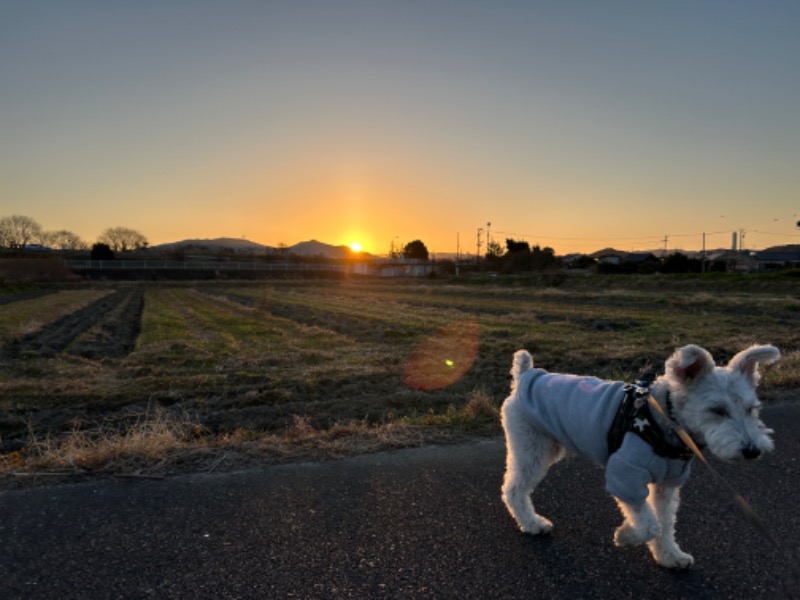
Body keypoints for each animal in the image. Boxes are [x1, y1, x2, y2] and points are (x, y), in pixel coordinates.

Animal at [504, 344, 780, 568]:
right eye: (717, 410)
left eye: (751, 409)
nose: (753, 450)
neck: (666, 419)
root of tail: (526, 375)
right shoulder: (626, 476)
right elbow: (650, 525)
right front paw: (626, 535)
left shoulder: (667, 485)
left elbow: (665, 523)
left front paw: (670, 556)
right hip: (531, 450)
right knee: (514, 489)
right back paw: (532, 524)